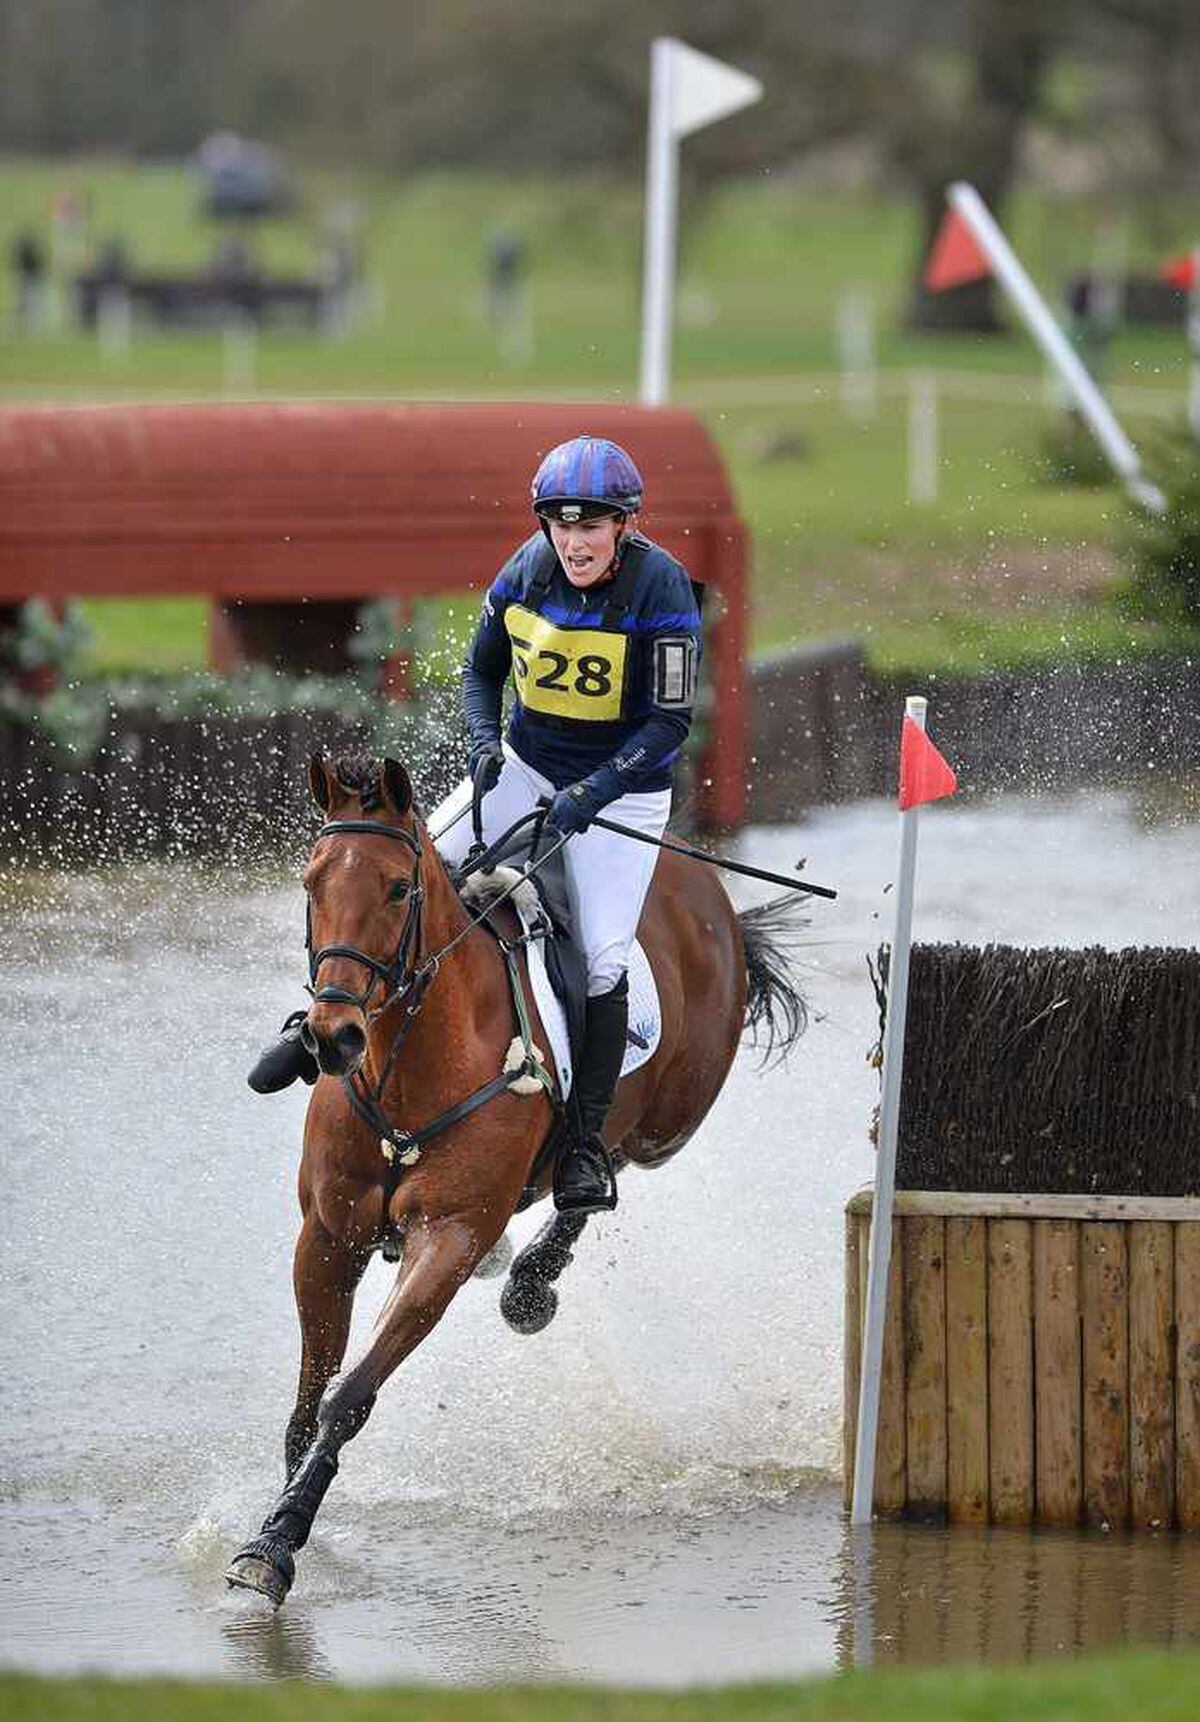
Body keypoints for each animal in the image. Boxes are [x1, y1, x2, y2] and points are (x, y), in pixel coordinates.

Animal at [223, 754, 805, 1598]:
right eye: (311, 881)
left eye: (397, 889)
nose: (332, 1038)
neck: (412, 1061)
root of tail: (710, 896)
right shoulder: (328, 1236)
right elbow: (307, 1400)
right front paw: (278, 1519)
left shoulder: (449, 1237)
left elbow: (349, 1395)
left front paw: (278, 1542)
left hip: (666, 1124)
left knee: (602, 1167)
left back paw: (533, 1278)